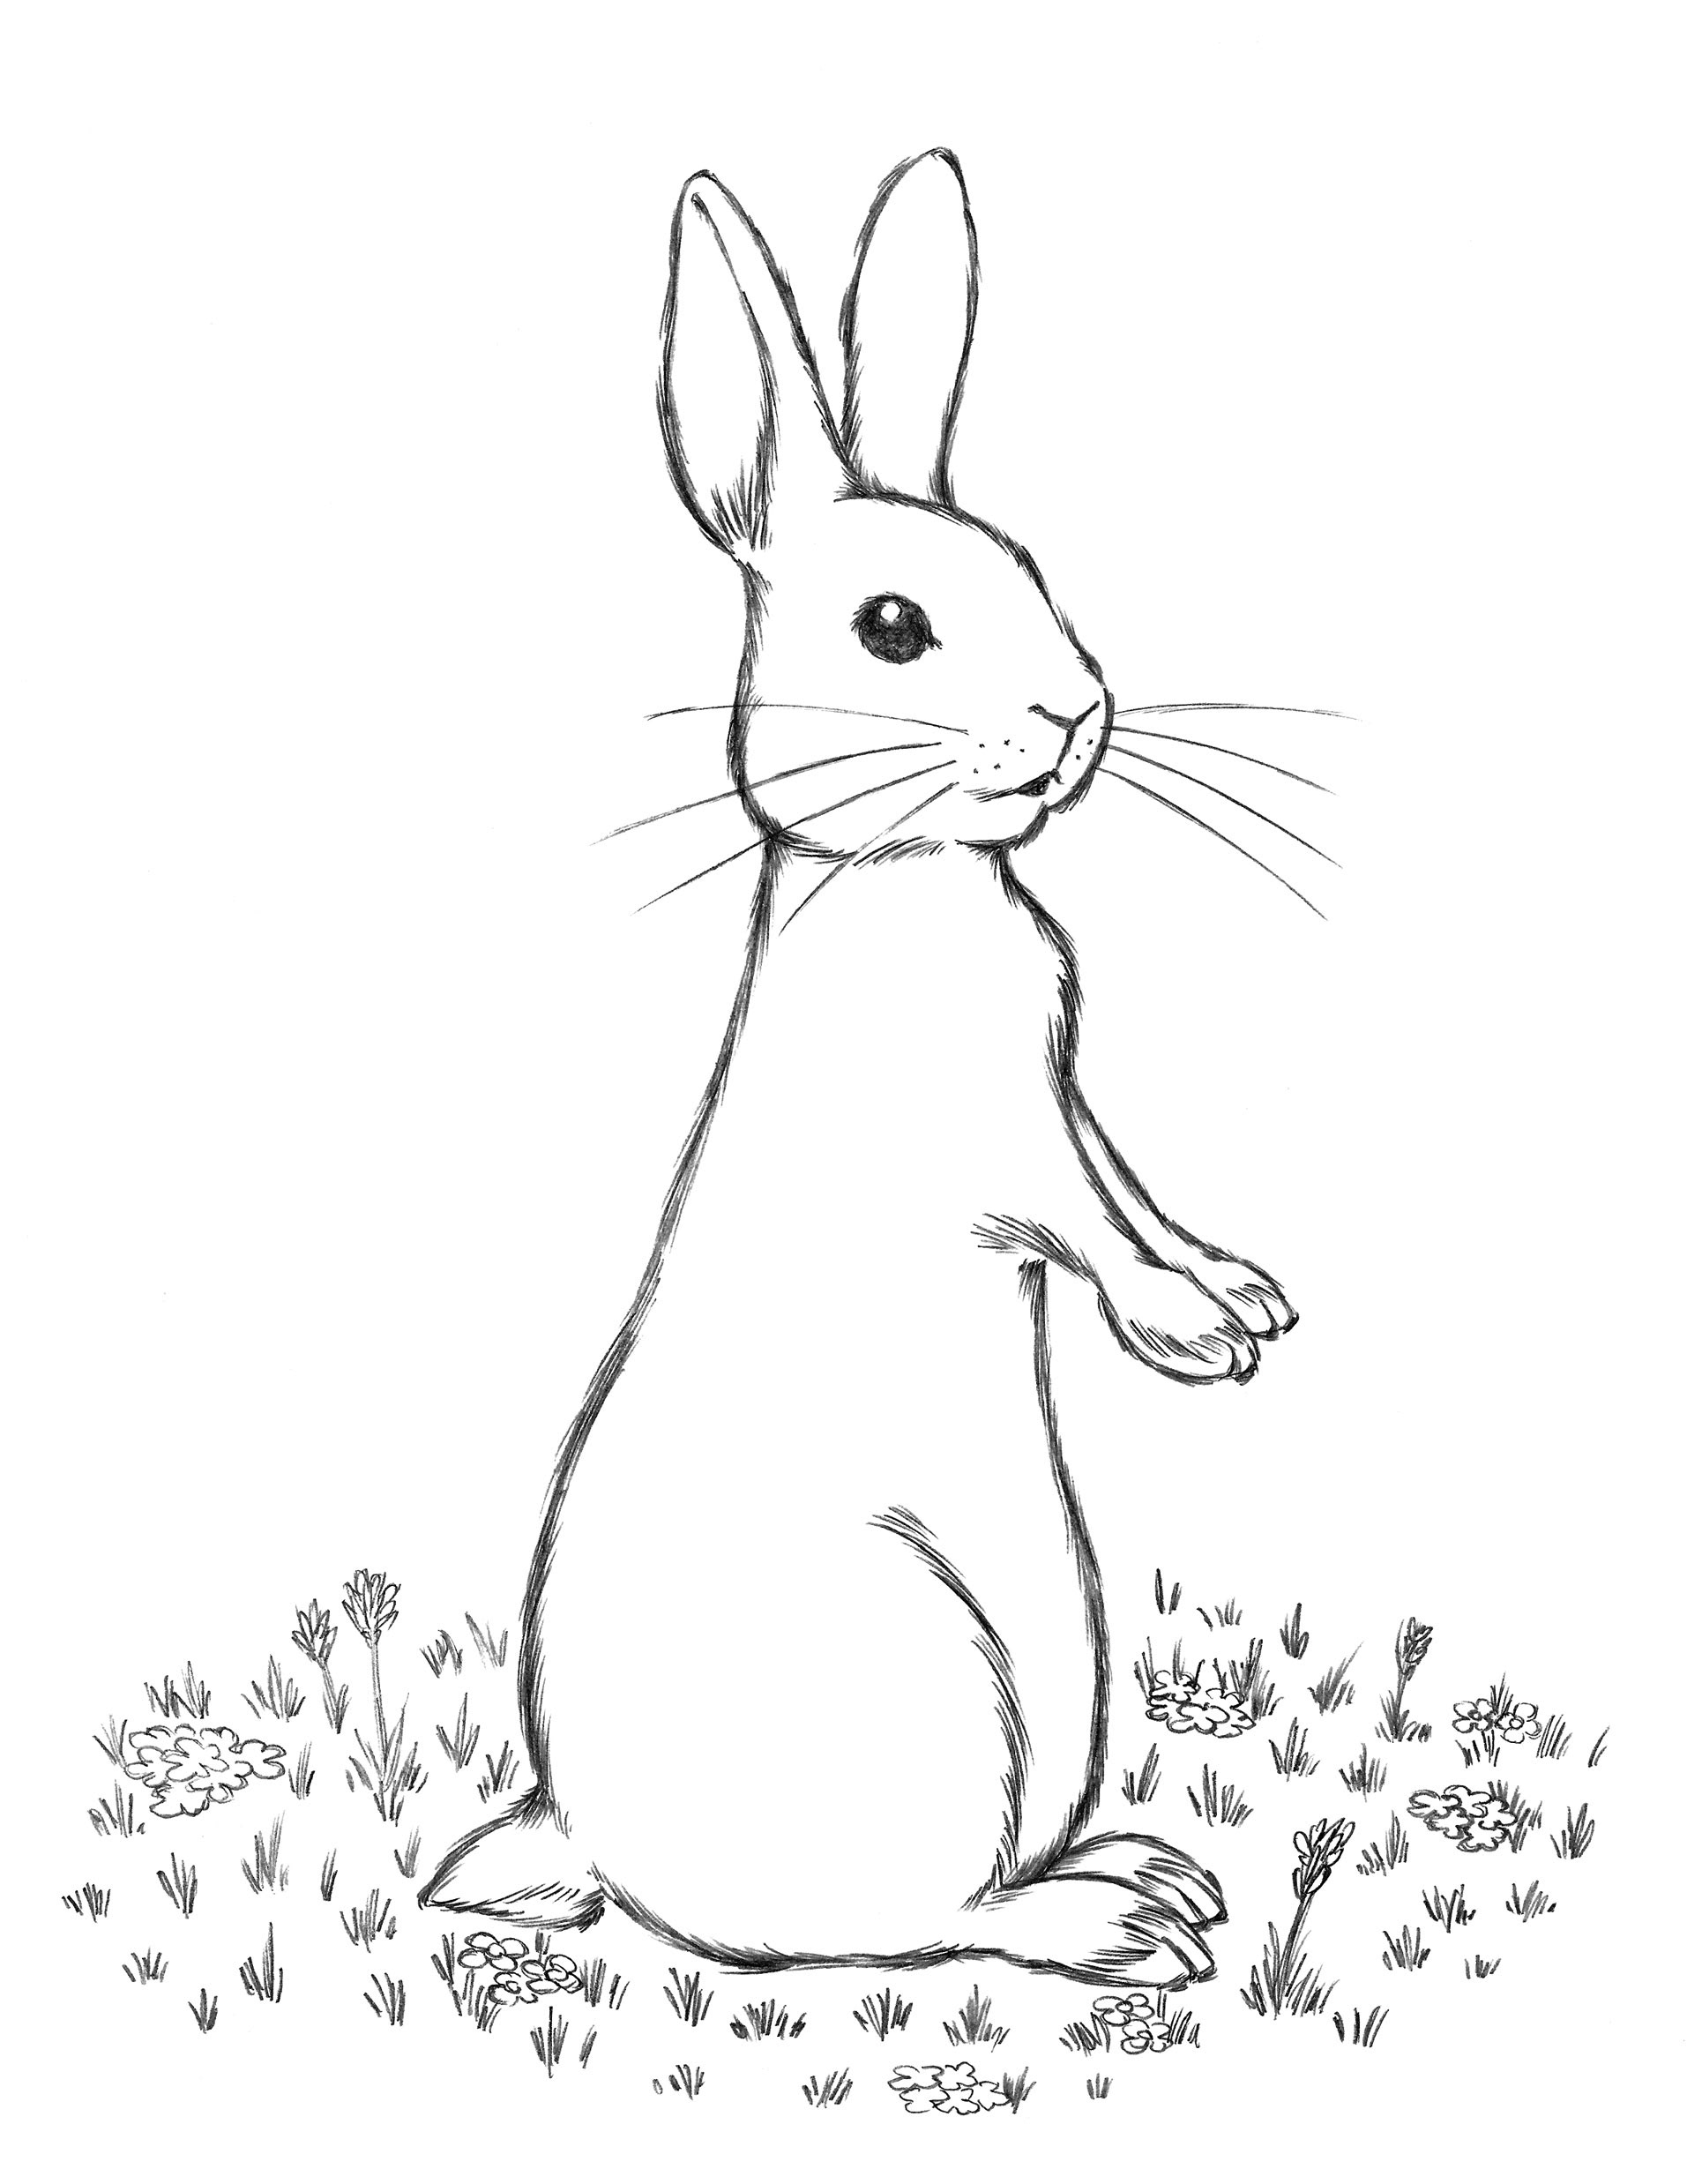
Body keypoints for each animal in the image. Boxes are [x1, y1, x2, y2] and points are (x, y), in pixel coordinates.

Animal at [420, 150, 1296, 1984]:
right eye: (894, 627)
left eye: (1035, 568)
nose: (1080, 710)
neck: (910, 871)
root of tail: (589, 1839)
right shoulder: (988, 1146)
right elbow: (1077, 1221)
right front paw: (1188, 1334)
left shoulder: (1064, 1090)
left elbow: (1130, 1186)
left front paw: (1237, 1287)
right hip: (927, 1682)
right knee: (926, 1925)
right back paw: (1120, 1921)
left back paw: (1147, 1872)